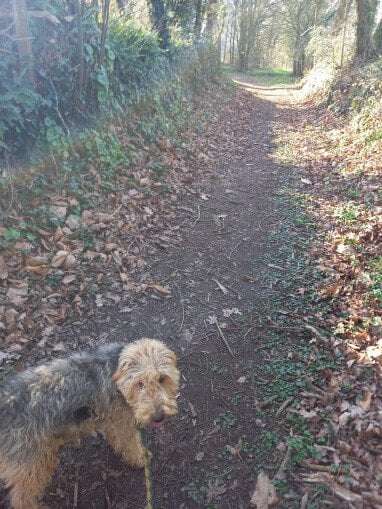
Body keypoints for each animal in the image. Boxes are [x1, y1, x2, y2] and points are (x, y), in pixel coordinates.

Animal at [0, 338, 181, 508]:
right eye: (140, 383)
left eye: (162, 378)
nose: (158, 417)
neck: (116, 376)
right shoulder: (122, 426)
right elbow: (131, 446)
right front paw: (141, 459)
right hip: (33, 465)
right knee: (21, 499)